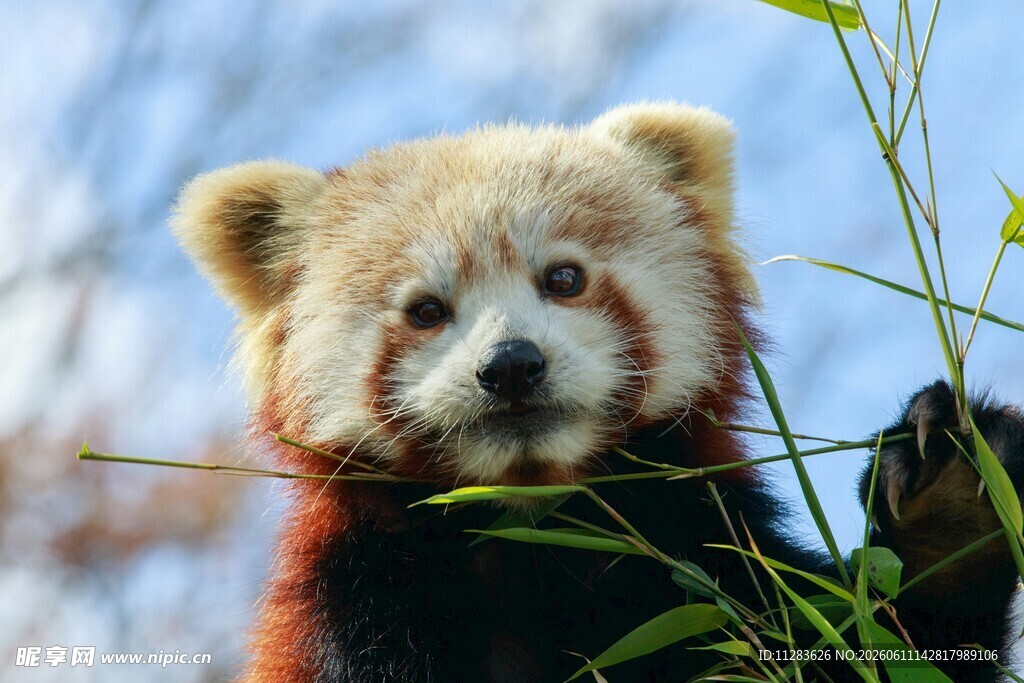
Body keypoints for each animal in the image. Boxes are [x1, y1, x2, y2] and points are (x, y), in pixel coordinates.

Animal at [172, 102, 1024, 682]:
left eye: (564, 278)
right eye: (425, 311)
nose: (511, 366)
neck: (535, 536)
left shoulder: (707, 573)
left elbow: (888, 645)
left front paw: (950, 500)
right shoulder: (354, 612)